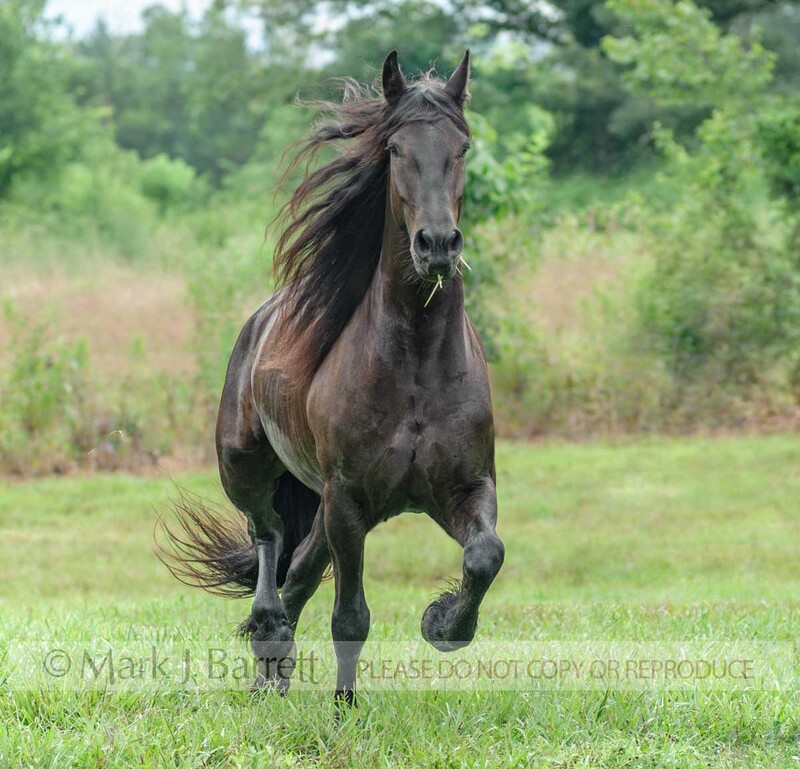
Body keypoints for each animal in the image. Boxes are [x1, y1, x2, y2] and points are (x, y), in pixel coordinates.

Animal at [159, 50, 505, 706]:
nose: (437, 245)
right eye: (394, 149)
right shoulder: (347, 500)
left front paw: (442, 620)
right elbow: (351, 616)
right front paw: (345, 711)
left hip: (324, 507)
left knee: (297, 571)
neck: (416, 361)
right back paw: (268, 634)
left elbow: (485, 557)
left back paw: (270, 669)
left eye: (463, 146)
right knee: (268, 535)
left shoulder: (465, 487)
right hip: (246, 467)